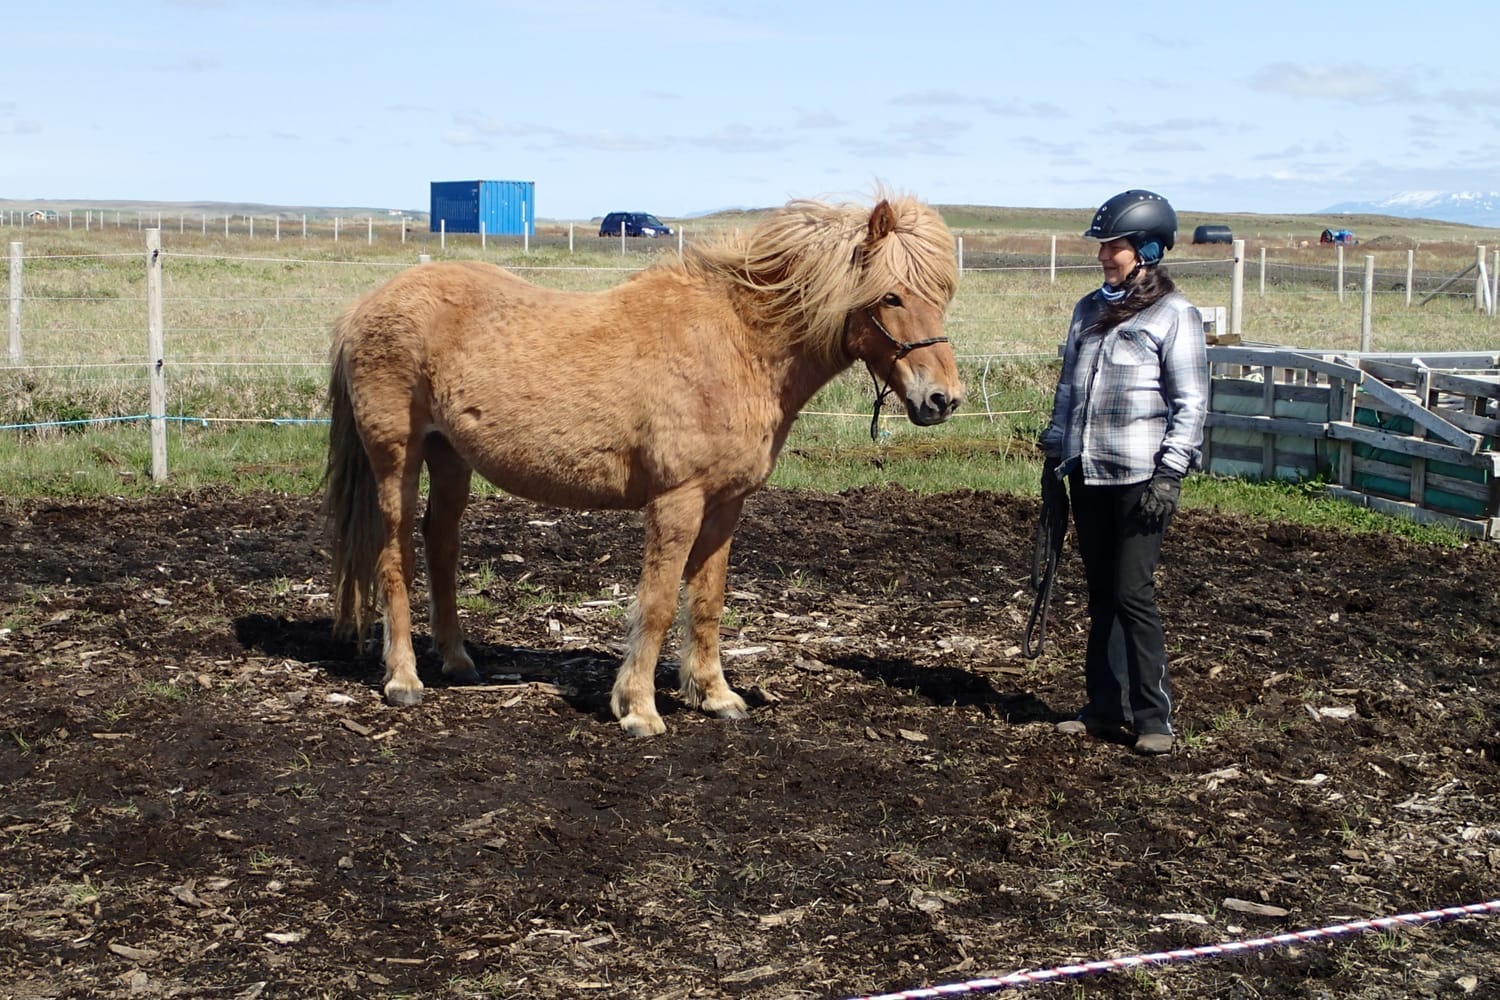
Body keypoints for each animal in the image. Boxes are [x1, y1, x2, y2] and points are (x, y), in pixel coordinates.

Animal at [321, 192, 963, 736]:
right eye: (891, 296)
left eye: (941, 293)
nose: (943, 399)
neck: (736, 344)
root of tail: (363, 307)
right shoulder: (677, 502)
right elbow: (656, 603)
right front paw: (638, 709)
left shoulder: (725, 506)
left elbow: (707, 602)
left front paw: (715, 696)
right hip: (397, 459)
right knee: (395, 555)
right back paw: (404, 679)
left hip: (450, 457)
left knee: (441, 545)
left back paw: (456, 660)